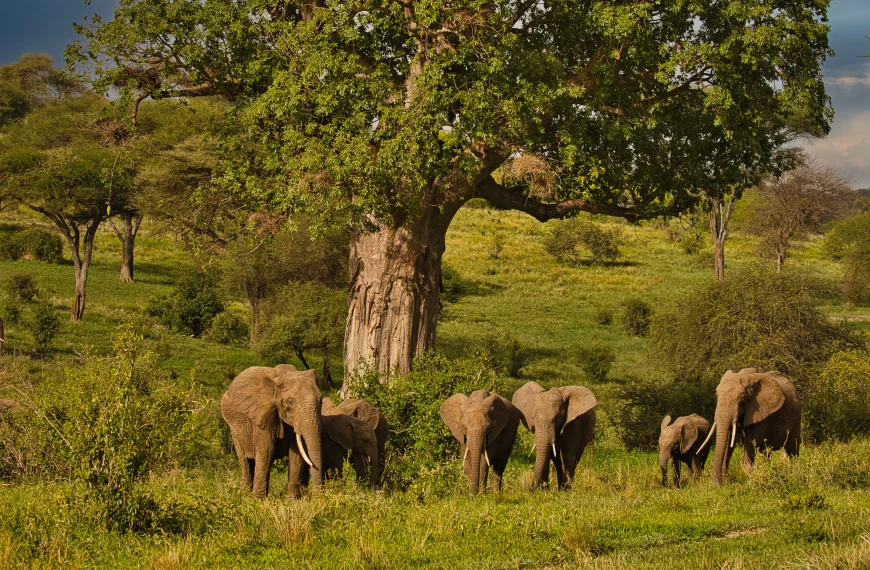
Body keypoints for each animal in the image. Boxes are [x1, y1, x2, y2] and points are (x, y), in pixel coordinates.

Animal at [220, 364, 323, 498]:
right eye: (290, 402)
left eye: (321, 401)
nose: (316, 495)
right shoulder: (261, 415)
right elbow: (267, 450)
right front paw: (258, 500)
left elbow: (296, 453)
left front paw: (291, 500)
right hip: (233, 426)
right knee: (245, 460)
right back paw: (243, 494)